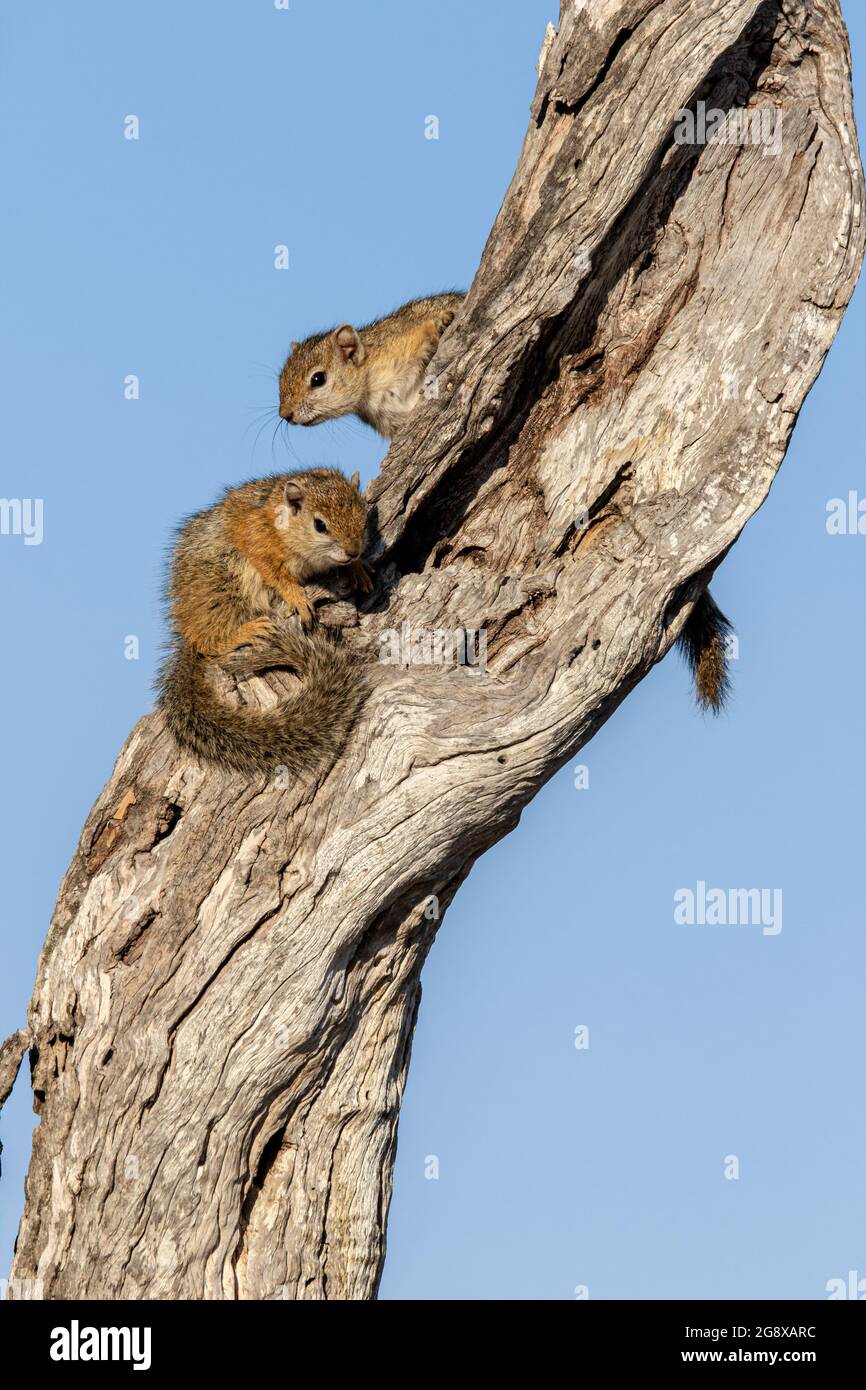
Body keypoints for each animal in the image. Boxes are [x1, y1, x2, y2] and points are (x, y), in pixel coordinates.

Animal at [158, 468, 371, 777]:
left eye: (364, 517)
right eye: (320, 525)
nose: (353, 551)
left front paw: (358, 568)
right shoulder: (255, 534)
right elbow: (273, 570)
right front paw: (295, 595)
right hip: (219, 585)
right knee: (209, 641)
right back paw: (243, 631)